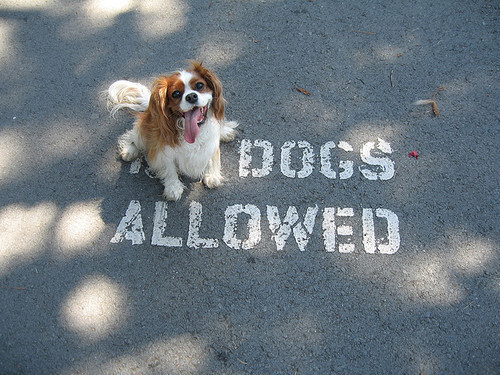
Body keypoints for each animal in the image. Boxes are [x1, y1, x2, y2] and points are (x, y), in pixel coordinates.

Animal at [107, 61, 238, 201]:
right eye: (176, 94)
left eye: (200, 85)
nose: (191, 96)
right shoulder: (162, 147)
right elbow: (168, 166)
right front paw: (173, 187)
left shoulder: (211, 141)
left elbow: (213, 155)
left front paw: (212, 175)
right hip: (143, 131)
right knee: (132, 135)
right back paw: (129, 150)